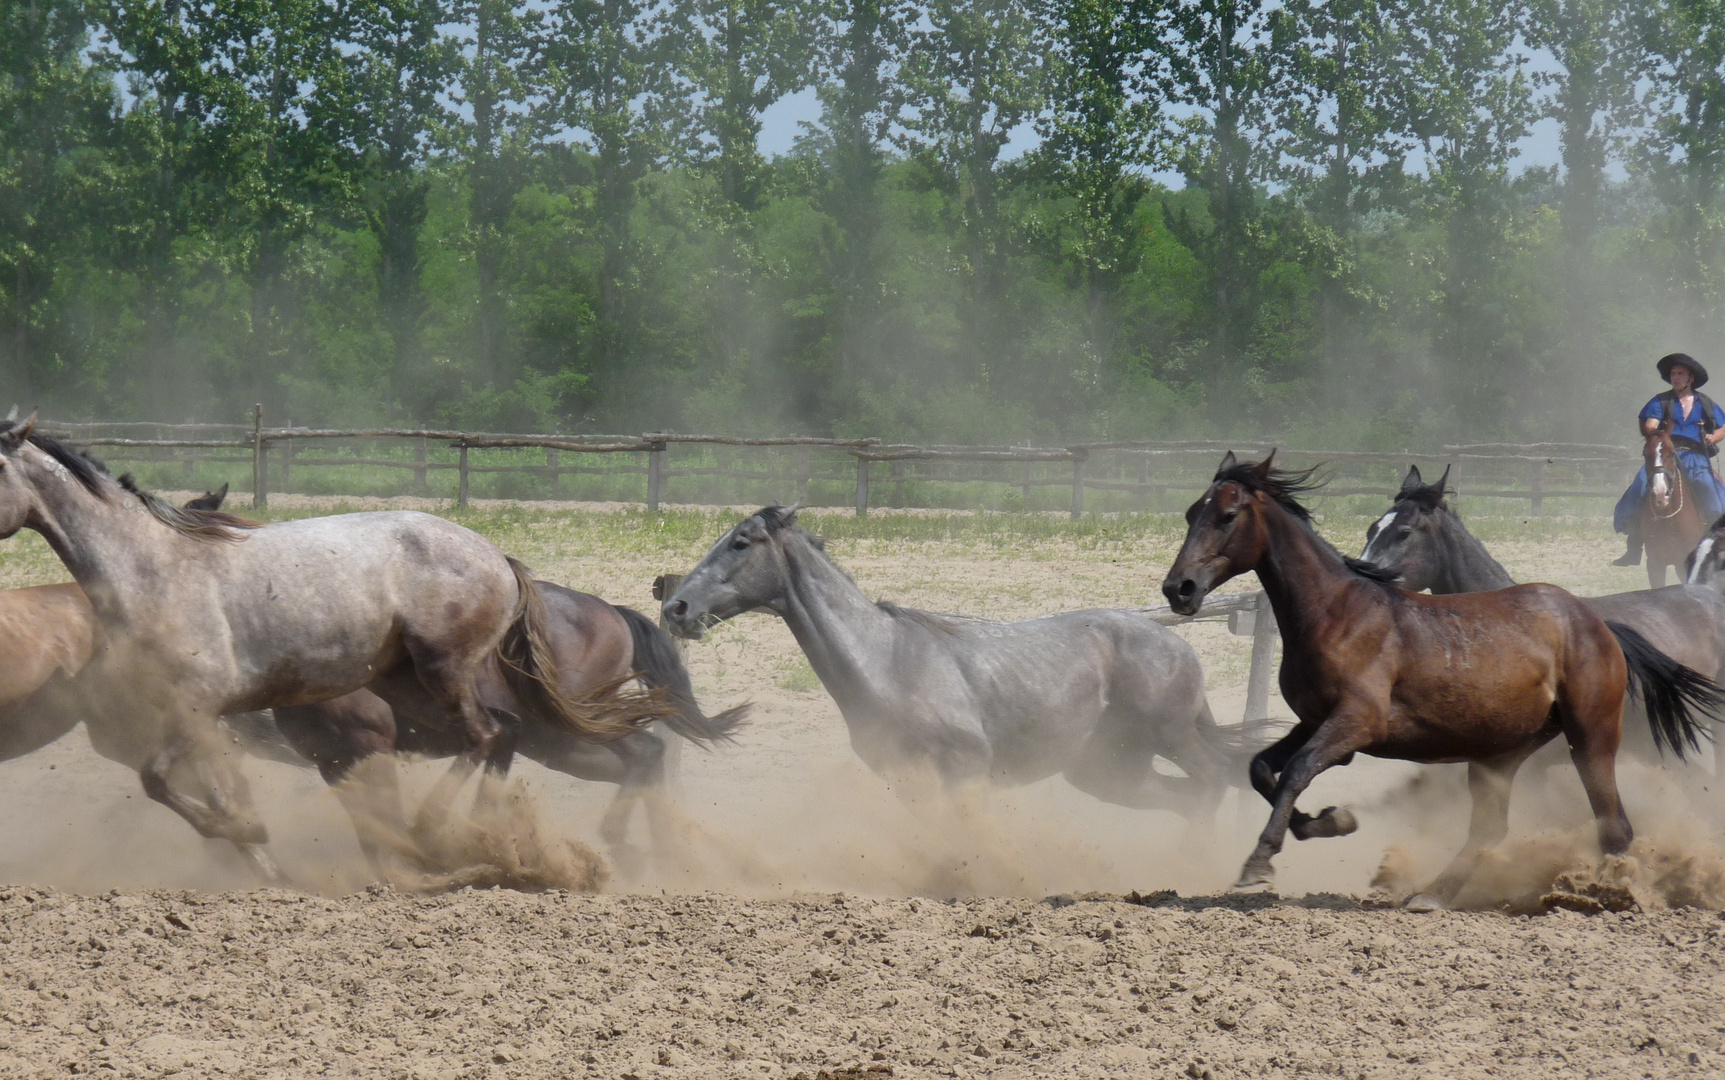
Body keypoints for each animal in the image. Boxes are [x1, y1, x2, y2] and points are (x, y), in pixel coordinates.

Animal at [0, 415, 658, 879]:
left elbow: (166, 781)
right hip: (411, 687)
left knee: (492, 736)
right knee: (503, 734)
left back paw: (444, 832)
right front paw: (253, 842)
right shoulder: (207, 722)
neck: (150, 568)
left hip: (446, 673)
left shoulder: (203, 709)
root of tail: (500, 559)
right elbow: (176, 784)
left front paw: (253, 835)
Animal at [655, 503, 1242, 814]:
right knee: (1186, 797)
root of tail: (1180, 647)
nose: (676, 607)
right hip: (1109, 769)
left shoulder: (965, 770)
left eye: (740, 542)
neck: (888, 664)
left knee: (1212, 780)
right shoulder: (906, 780)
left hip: (1170, 737)